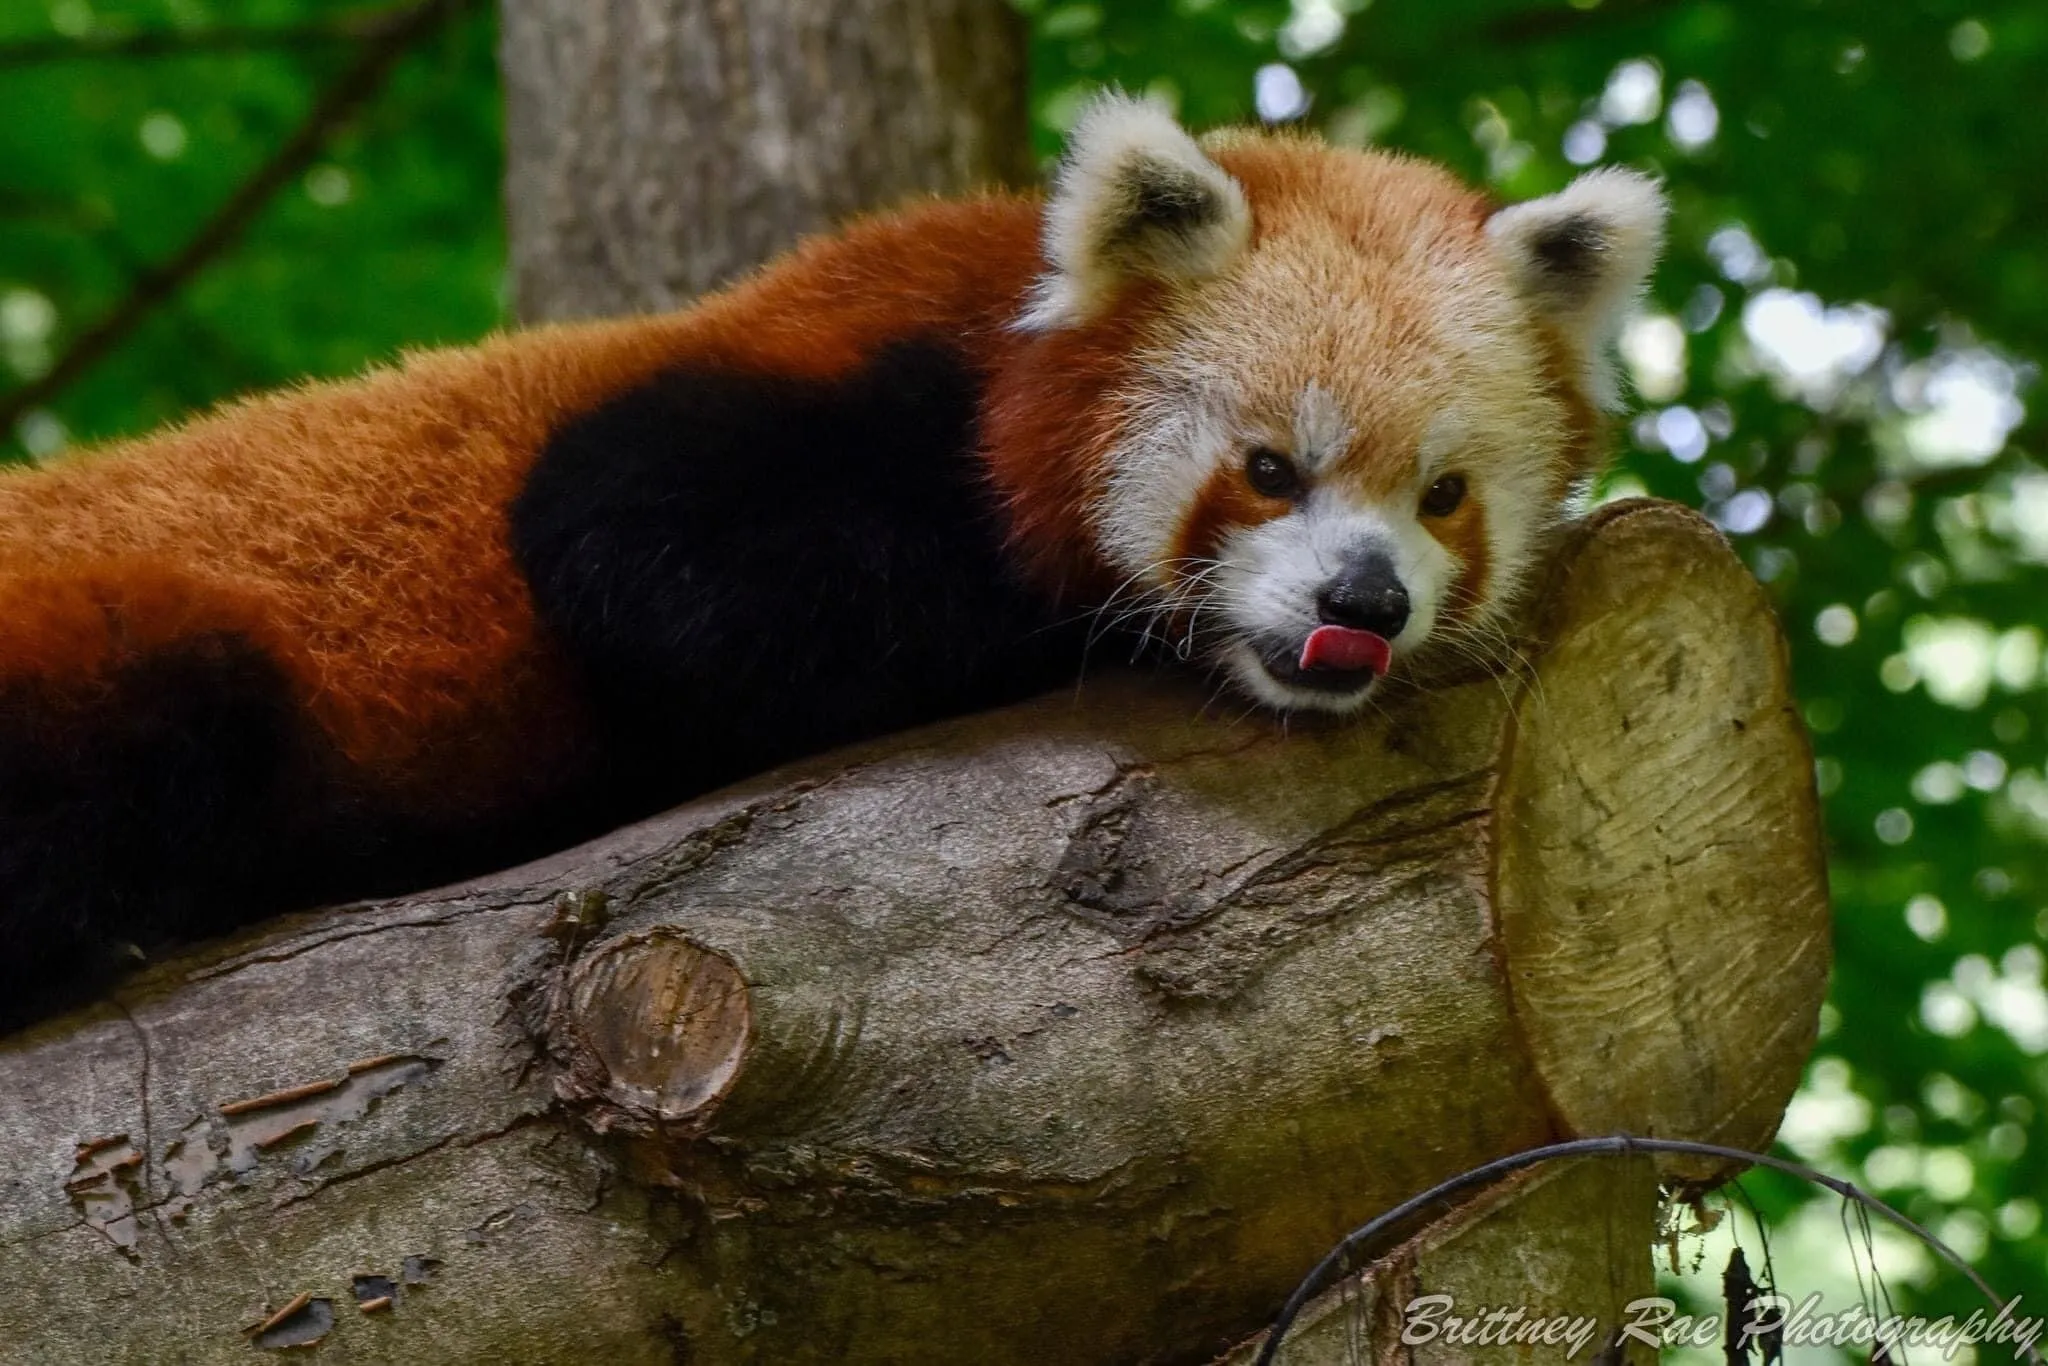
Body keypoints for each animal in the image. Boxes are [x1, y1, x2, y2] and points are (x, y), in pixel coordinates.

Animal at [0, 96, 1664, 1032]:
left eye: (1443, 497)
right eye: (1269, 470)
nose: (1360, 606)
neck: (992, 332)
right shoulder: (776, 395)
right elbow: (646, 562)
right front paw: (1091, 621)